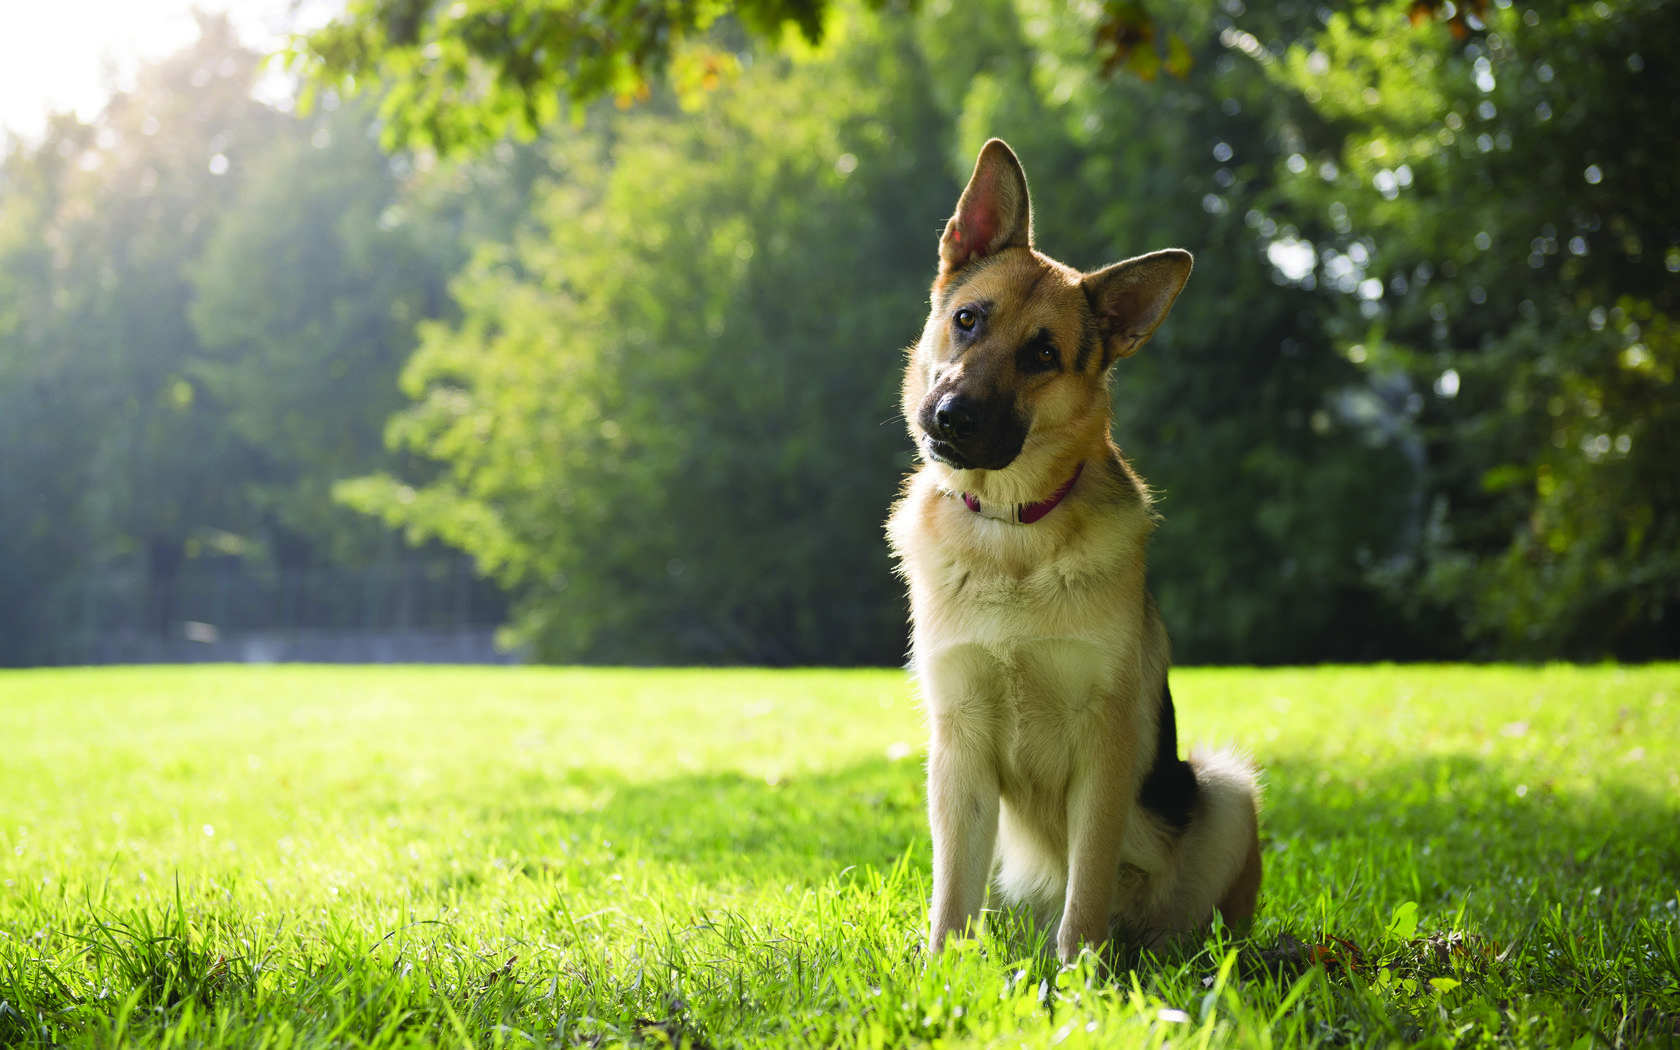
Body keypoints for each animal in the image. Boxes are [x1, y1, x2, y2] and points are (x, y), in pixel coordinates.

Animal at [893, 141, 1263, 967]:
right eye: (968, 320)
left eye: (1043, 354)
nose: (951, 418)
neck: (1012, 531)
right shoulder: (959, 747)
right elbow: (951, 896)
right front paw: (940, 975)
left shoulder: (1107, 744)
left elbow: (1086, 889)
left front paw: (1082, 980)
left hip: (1224, 790)